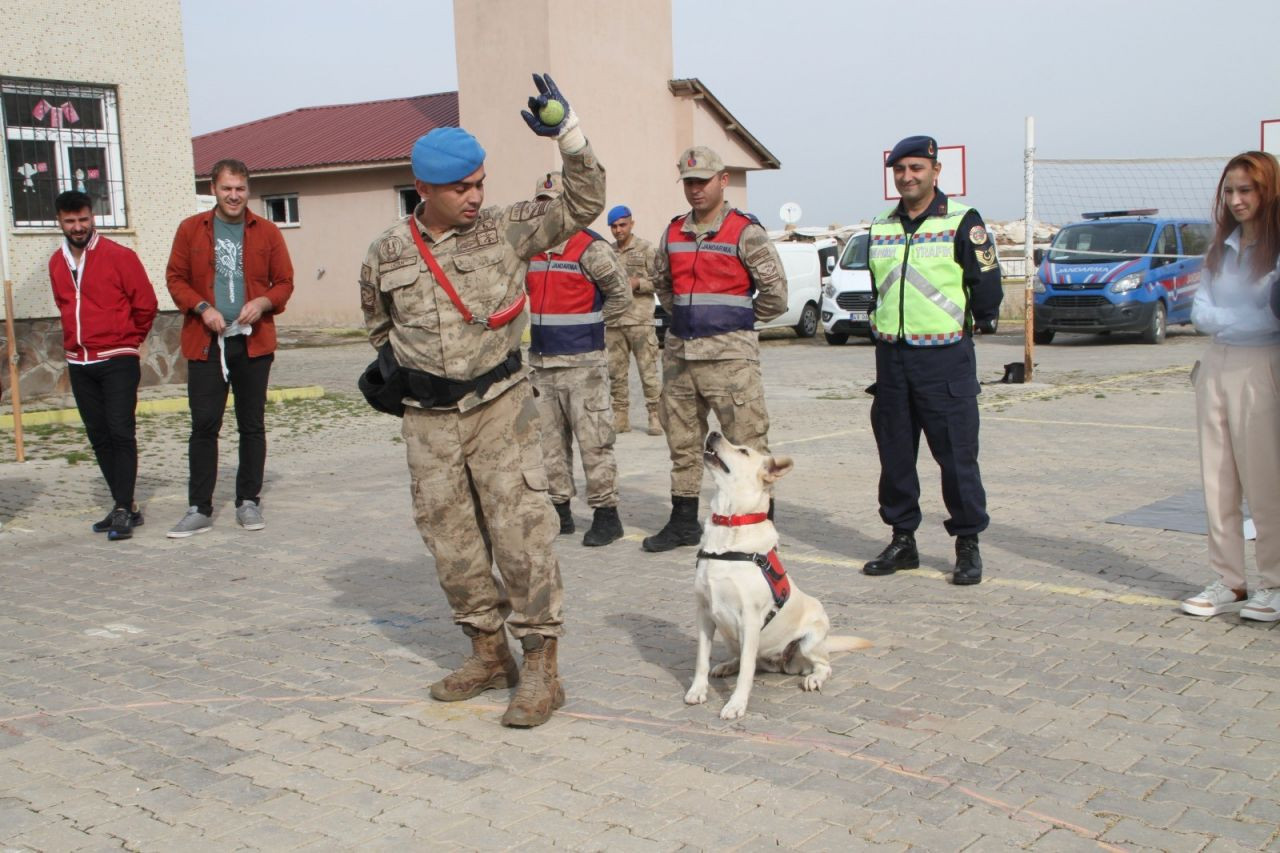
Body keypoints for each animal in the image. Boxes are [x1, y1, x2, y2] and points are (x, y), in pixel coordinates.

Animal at [686, 432, 875, 717]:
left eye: (743, 451)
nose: (714, 433)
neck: (730, 526)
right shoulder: (705, 614)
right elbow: (701, 660)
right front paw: (698, 690)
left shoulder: (750, 619)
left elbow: (746, 673)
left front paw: (736, 705)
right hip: (731, 637)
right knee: (745, 659)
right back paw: (727, 665)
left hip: (809, 640)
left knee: (823, 665)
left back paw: (814, 678)